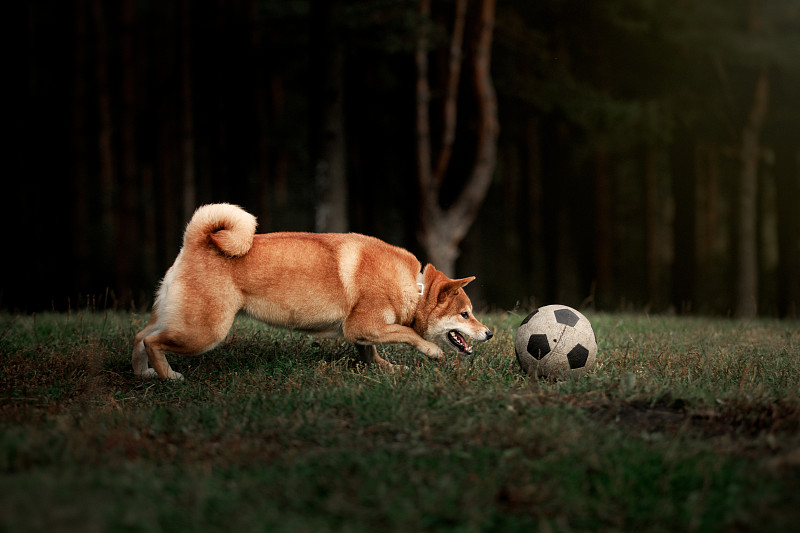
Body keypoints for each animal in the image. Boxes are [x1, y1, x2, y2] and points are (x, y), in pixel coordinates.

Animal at [132, 201, 494, 378]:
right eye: (466, 314)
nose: (490, 333)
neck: (414, 287)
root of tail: (196, 241)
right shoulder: (364, 324)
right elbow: (408, 335)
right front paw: (430, 351)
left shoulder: (359, 332)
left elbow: (371, 354)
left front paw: (387, 370)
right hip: (205, 332)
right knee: (152, 341)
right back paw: (168, 376)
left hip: (179, 320)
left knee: (140, 336)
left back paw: (144, 373)